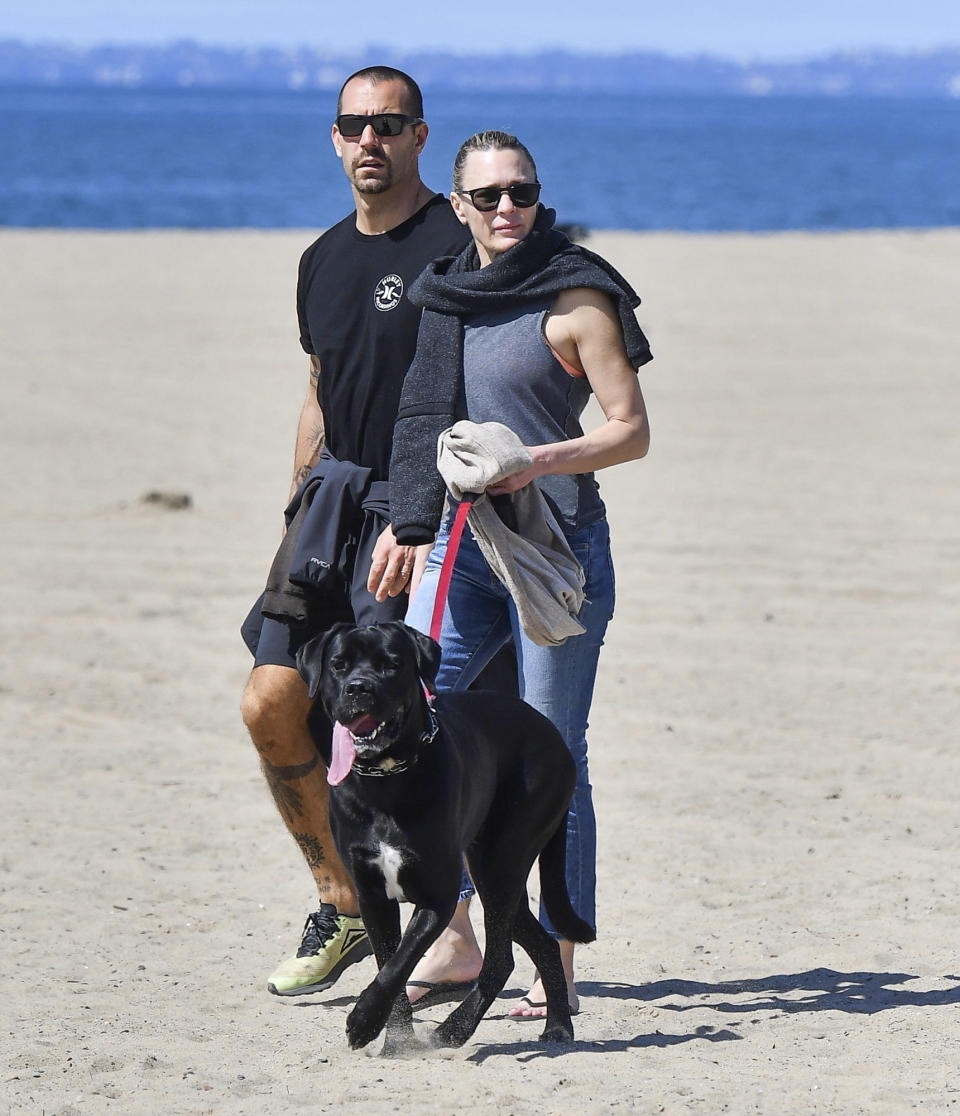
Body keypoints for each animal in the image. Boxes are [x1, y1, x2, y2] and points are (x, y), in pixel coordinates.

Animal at [296, 620, 598, 1053]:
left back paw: (456, 1029)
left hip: (501, 862)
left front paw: (363, 1021)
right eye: (338, 664)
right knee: (544, 943)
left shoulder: (436, 897)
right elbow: (390, 964)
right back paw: (557, 1027)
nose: (359, 688)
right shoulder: (372, 897)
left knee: (501, 959)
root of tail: (553, 735)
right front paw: (395, 1041)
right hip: (497, 877)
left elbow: (397, 965)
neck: (386, 777)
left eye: (391, 664)